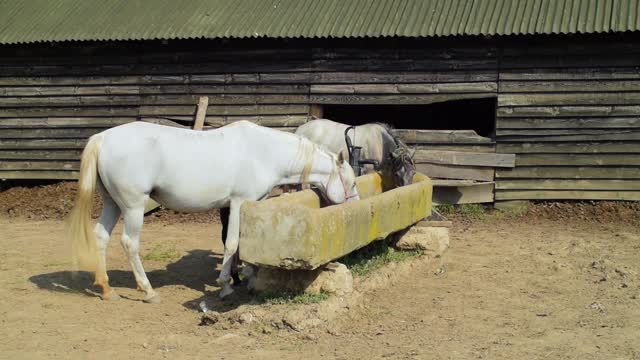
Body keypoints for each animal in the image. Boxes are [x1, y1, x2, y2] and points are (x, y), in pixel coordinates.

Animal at [69, 119, 360, 302]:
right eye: (352, 182)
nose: (356, 205)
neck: (265, 152)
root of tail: (102, 138)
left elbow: (243, 244)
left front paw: (246, 276)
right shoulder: (239, 203)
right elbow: (232, 244)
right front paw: (225, 286)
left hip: (113, 204)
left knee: (101, 237)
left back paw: (106, 288)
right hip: (133, 207)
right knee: (130, 243)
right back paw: (148, 290)